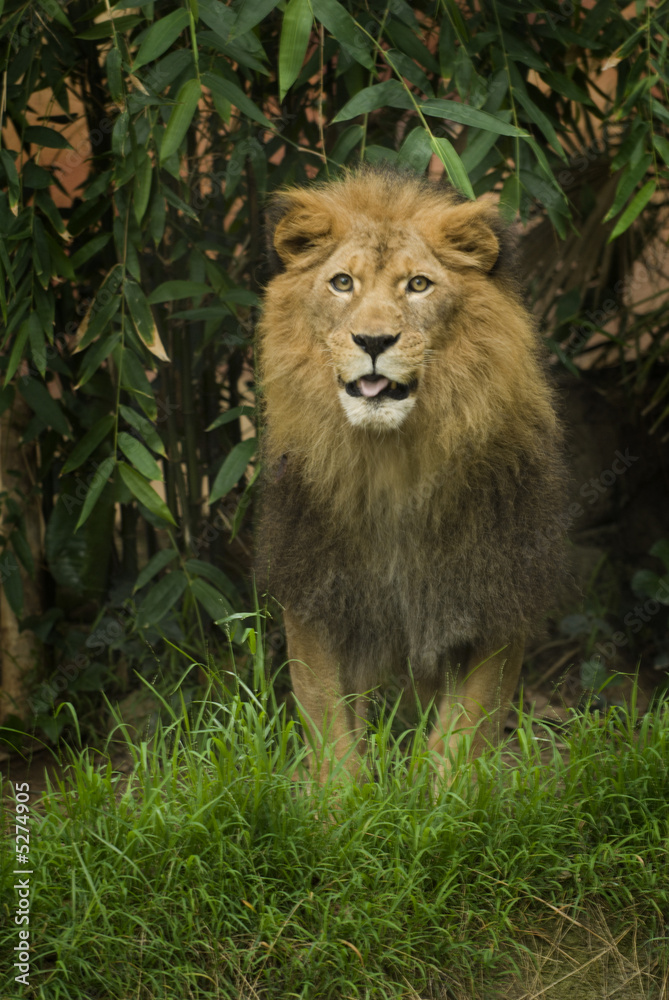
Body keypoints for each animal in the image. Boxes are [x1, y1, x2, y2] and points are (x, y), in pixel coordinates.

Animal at [257, 167, 566, 782]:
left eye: (419, 285)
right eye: (342, 283)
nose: (374, 342)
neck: (391, 458)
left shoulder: (496, 590)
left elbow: (466, 729)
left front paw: (445, 801)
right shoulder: (315, 589)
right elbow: (329, 724)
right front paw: (341, 803)